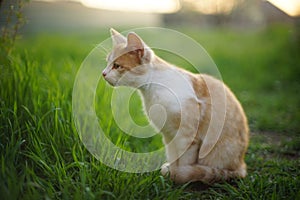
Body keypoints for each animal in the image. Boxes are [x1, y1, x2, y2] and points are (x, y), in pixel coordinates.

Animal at [102, 28, 250, 184]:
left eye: (117, 66)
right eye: (107, 63)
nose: (103, 73)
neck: (154, 88)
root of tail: (241, 165)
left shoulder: (188, 136)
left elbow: (184, 162)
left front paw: (180, 177)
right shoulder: (168, 134)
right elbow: (173, 156)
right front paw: (171, 173)